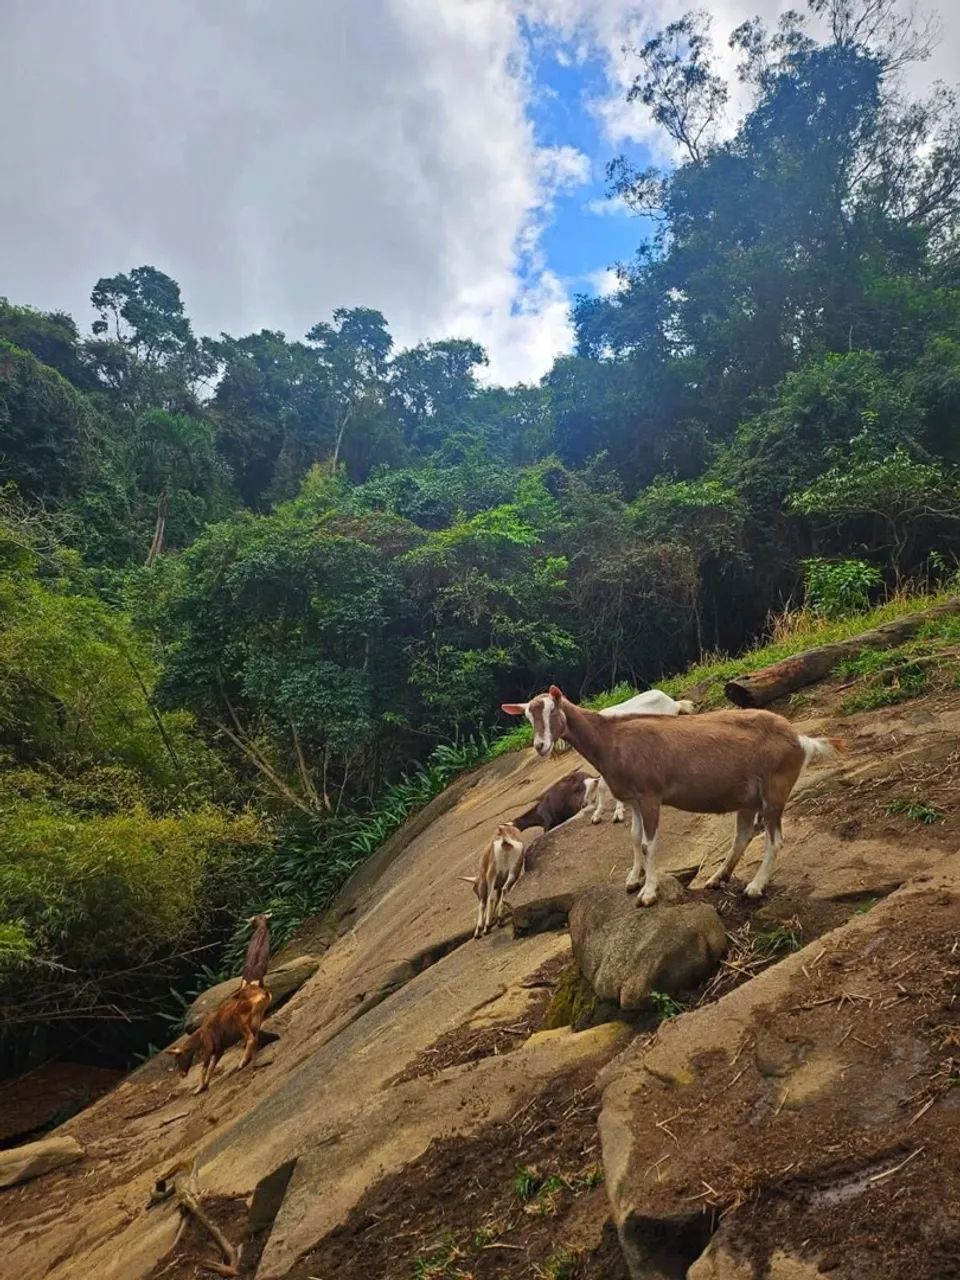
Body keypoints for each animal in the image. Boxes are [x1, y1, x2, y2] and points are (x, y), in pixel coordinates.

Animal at [502, 686, 841, 906]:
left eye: (553, 710)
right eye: (527, 717)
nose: (541, 746)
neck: (612, 740)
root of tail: (800, 739)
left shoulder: (650, 794)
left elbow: (649, 844)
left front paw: (648, 893)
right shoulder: (634, 799)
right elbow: (634, 839)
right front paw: (633, 879)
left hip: (775, 789)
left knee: (774, 838)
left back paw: (756, 886)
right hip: (748, 797)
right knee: (742, 835)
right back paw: (718, 877)